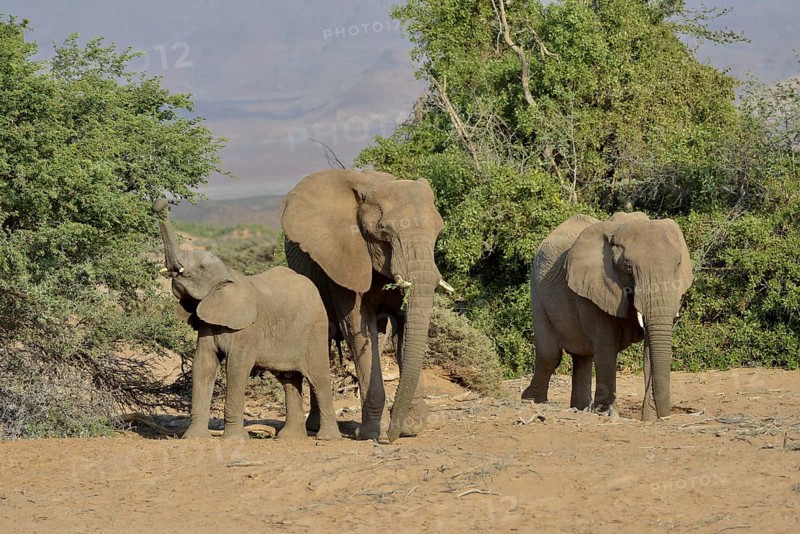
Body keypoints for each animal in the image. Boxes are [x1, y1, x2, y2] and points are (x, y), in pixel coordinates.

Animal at [152, 199, 340, 440]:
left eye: (202, 267)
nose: (159, 203)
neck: (228, 275)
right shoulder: (208, 325)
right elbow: (203, 365)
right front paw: (193, 438)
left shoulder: (248, 329)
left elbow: (237, 367)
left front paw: (233, 440)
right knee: (289, 379)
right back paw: (289, 438)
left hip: (315, 329)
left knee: (318, 378)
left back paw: (327, 438)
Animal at [281, 169, 448, 443]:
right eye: (383, 232)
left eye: (438, 231)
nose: (390, 438)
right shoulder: (344, 257)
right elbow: (358, 330)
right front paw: (373, 433)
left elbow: (404, 327)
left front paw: (410, 427)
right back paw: (316, 428)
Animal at [521, 212, 693, 421]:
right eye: (628, 267)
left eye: (678, 264)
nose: (664, 417)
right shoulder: (595, 288)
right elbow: (606, 345)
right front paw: (607, 413)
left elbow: (650, 349)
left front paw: (650, 418)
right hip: (537, 291)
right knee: (550, 355)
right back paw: (530, 401)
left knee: (582, 357)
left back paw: (579, 408)